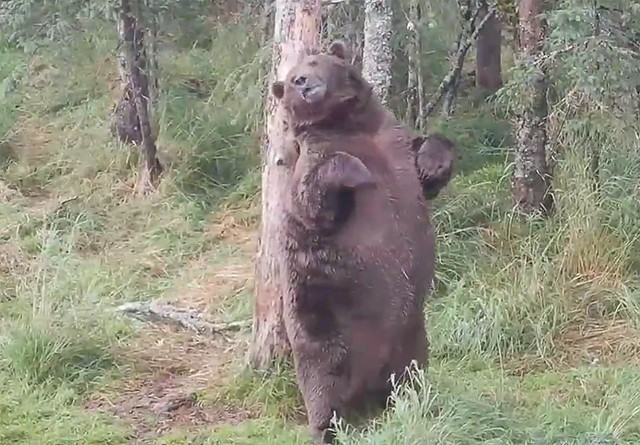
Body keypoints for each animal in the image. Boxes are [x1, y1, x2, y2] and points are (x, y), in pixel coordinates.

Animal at [270, 40, 456, 440]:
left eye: (313, 62)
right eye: (291, 80)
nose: (303, 81)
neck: (347, 123)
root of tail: (366, 393)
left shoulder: (392, 137)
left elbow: (424, 154)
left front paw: (434, 161)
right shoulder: (313, 160)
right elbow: (310, 199)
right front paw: (359, 172)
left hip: (413, 338)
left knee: (413, 374)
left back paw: (416, 400)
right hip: (323, 325)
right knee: (322, 383)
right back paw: (326, 428)